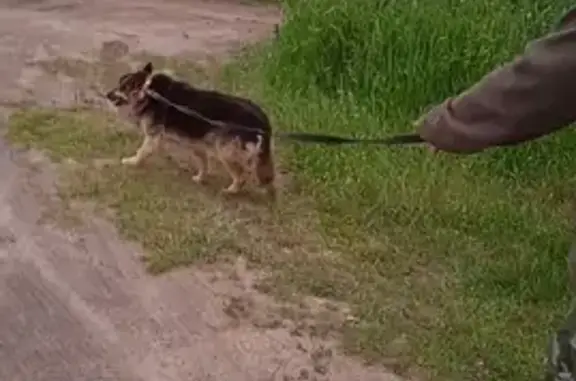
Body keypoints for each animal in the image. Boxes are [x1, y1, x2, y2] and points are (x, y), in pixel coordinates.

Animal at [106, 61, 276, 196]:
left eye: (123, 87)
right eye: (119, 84)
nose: (107, 94)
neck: (147, 90)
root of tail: (262, 120)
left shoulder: (153, 136)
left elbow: (141, 151)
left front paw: (132, 162)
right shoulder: (196, 143)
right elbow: (203, 163)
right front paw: (200, 178)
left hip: (225, 152)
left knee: (242, 176)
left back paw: (231, 191)